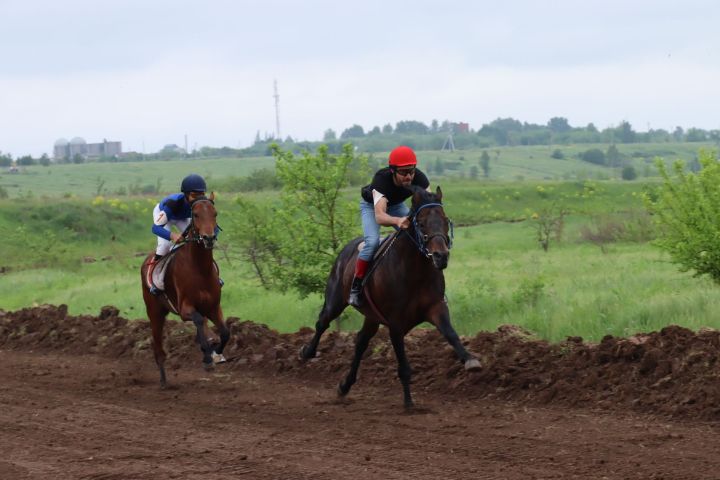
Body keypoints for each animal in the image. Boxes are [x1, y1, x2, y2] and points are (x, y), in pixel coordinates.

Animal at [139, 194, 229, 386]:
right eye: (195, 214)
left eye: (215, 213)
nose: (208, 238)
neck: (200, 269)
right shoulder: (184, 309)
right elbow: (198, 320)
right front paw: (207, 357)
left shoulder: (213, 307)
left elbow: (225, 332)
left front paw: (216, 353)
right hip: (155, 312)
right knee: (158, 348)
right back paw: (163, 380)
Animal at [300, 186, 480, 406]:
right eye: (421, 223)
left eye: (445, 220)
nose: (441, 256)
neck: (415, 271)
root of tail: (345, 250)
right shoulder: (395, 322)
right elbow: (403, 366)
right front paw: (409, 402)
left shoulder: (436, 307)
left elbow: (451, 334)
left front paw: (470, 359)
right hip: (335, 300)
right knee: (322, 323)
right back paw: (307, 352)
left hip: (371, 316)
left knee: (361, 342)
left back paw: (345, 385)